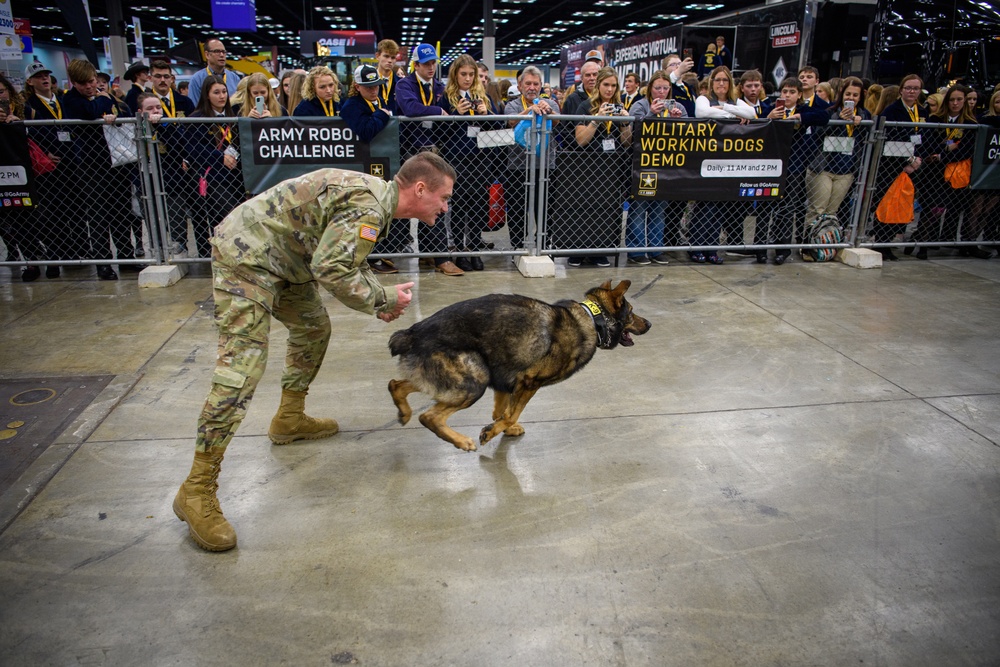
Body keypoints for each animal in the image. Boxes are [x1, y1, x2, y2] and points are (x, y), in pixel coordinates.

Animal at [386, 280, 652, 452]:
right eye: (631, 312)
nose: (649, 324)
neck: (592, 319)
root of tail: (412, 334)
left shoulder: (506, 384)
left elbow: (502, 412)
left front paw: (502, 428)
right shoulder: (529, 382)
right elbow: (512, 413)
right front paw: (492, 432)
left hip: (448, 378)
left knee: (395, 384)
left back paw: (404, 412)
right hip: (474, 380)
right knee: (429, 416)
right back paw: (461, 441)